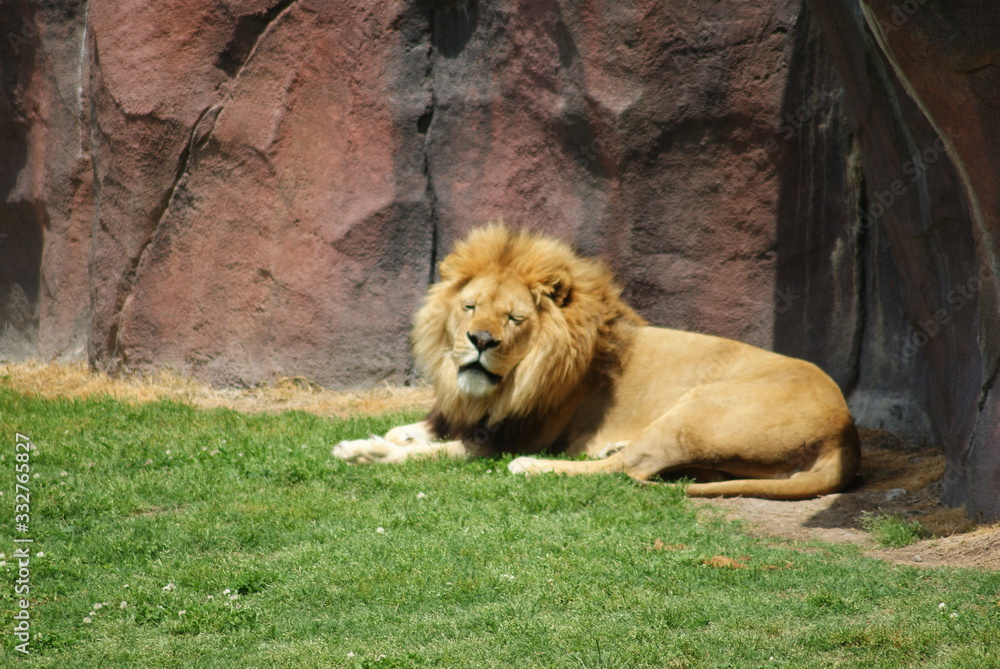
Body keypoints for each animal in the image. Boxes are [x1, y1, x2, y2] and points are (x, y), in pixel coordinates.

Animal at [333, 224, 860, 499]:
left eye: (514, 318)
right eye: (469, 306)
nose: (480, 340)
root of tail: (847, 434)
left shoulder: (511, 436)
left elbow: (430, 452)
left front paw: (368, 451)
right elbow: (422, 429)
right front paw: (390, 434)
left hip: (701, 406)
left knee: (632, 468)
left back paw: (536, 468)